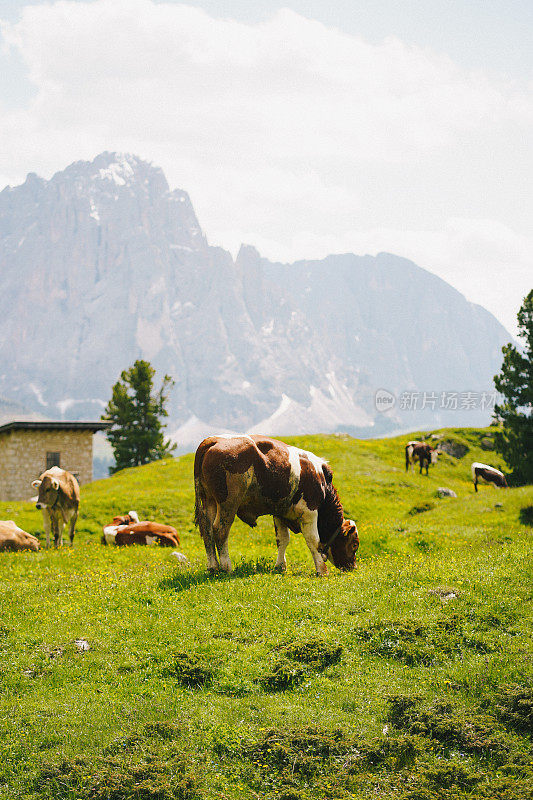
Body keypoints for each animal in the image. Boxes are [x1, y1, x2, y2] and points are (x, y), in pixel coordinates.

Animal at [193, 432, 360, 576]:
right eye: (355, 545)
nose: (353, 567)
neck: (321, 481)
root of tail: (212, 441)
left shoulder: (280, 513)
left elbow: (282, 540)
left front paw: (280, 567)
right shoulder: (310, 512)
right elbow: (313, 541)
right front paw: (322, 570)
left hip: (207, 501)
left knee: (207, 531)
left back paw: (213, 567)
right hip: (228, 503)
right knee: (220, 530)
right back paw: (227, 567)